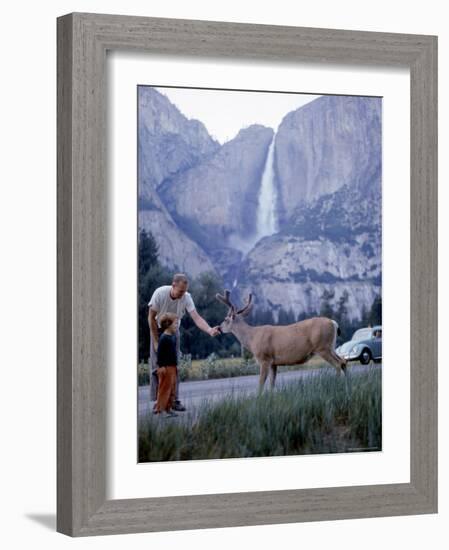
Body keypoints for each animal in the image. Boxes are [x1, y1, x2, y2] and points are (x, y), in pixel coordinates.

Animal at [215, 292, 344, 394]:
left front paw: (259, 398)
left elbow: (261, 383)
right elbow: (272, 383)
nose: (219, 328)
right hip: (331, 347)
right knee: (343, 361)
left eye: (225, 319)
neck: (252, 338)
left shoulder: (264, 358)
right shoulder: (274, 363)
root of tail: (334, 323)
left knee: (338, 364)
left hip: (322, 347)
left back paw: (337, 385)